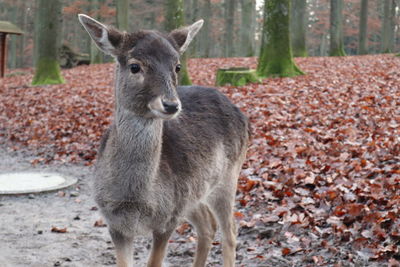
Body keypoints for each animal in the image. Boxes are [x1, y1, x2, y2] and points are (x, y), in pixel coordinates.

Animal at [77, 14, 250, 267]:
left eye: (177, 66)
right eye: (135, 66)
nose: (171, 105)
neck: (135, 200)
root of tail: (243, 116)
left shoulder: (167, 220)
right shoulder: (115, 224)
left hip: (227, 177)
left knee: (231, 231)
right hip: (192, 193)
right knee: (208, 225)